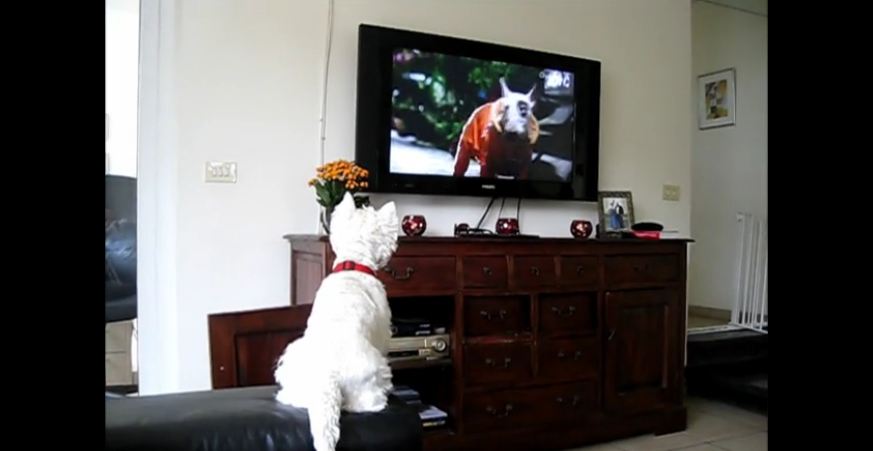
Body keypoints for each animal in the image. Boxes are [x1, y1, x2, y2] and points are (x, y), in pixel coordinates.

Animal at [274, 193, 400, 451]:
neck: (353, 264)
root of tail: (327, 377)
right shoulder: (383, 330)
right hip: (373, 374)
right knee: (365, 403)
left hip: (291, 368)